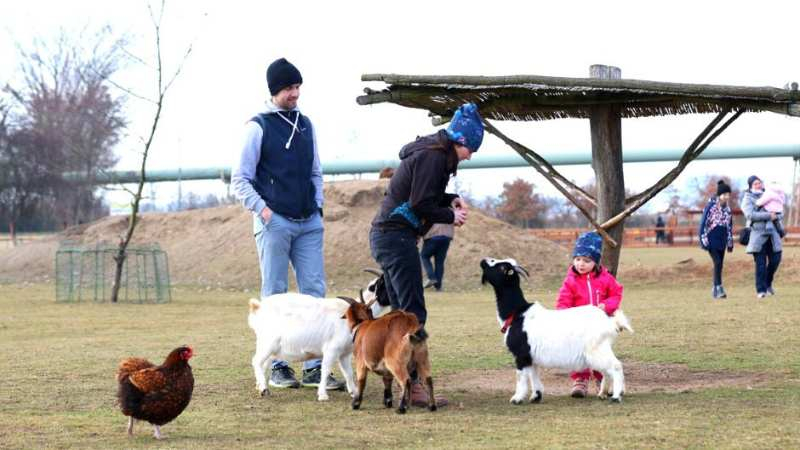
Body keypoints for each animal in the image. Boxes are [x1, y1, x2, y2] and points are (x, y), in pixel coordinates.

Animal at [478, 258, 636, 402]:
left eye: (501, 267)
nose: (483, 261)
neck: (517, 313)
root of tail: (610, 322)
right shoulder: (530, 356)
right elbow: (533, 374)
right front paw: (536, 396)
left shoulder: (521, 355)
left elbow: (521, 376)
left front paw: (517, 399)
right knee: (607, 371)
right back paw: (604, 393)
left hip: (597, 350)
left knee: (616, 366)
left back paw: (616, 396)